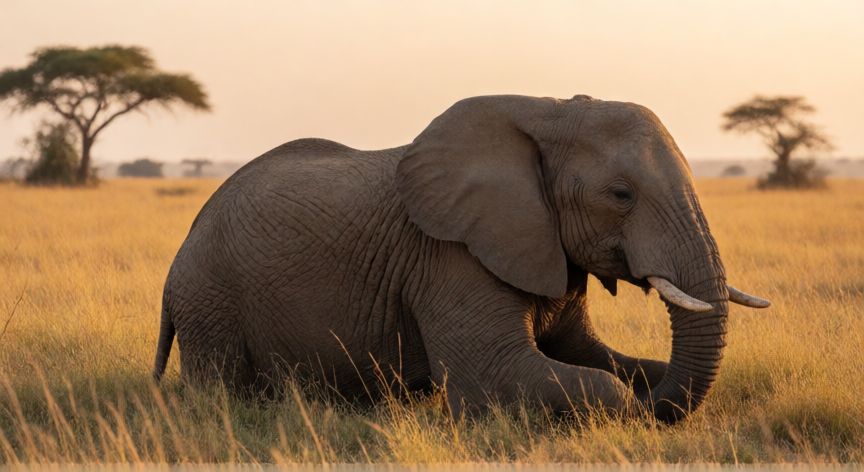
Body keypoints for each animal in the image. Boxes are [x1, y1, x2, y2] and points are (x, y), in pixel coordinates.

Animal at [153, 94, 770, 424]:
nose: (655, 411)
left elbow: (595, 356)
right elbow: (499, 374)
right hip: (209, 297)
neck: (543, 112)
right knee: (221, 388)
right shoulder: (449, 258)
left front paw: (646, 391)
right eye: (621, 195)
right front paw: (631, 408)